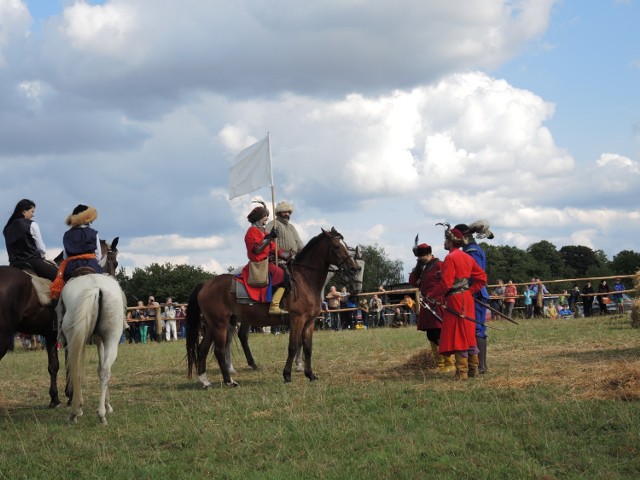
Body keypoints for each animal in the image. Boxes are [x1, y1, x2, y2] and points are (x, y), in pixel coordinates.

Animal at [0, 238, 119, 406]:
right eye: (115, 263)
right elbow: (70, 361)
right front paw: (71, 395)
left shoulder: (50, 335)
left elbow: (53, 366)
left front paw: (55, 397)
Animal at [58, 274, 126, 424]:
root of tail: (95, 287)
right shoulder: (100, 340)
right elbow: (100, 369)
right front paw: (107, 406)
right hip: (112, 339)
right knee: (106, 370)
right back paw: (101, 415)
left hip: (73, 339)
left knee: (76, 369)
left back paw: (75, 413)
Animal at [188, 227, 362, 388]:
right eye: (336, 246)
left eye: (345, 245)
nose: (353, 269)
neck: (304, 280)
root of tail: (206, 283)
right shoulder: (297, 320)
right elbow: (293, 346)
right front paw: (287, 375)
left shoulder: (309, 322)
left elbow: (307, 348)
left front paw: (310, 375)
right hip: (221, 325)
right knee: (220, 350)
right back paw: (229, 380)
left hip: (213, 325)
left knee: (203, 349)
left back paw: (205, 381)